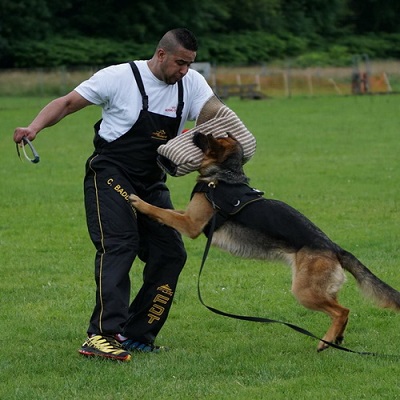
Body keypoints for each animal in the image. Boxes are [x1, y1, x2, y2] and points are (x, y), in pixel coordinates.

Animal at [129, 132, 400, 350]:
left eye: (209, 138)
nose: (195, 132)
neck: (225, 176)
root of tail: (333, 247)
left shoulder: (190, 223)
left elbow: (161, 211)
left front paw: (139, 202)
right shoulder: (188, 218)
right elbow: (165, 212)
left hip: (304, 291)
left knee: (343, 311)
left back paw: (325, 342)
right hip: (317, 289)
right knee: (339, 309)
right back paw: (336, 338)